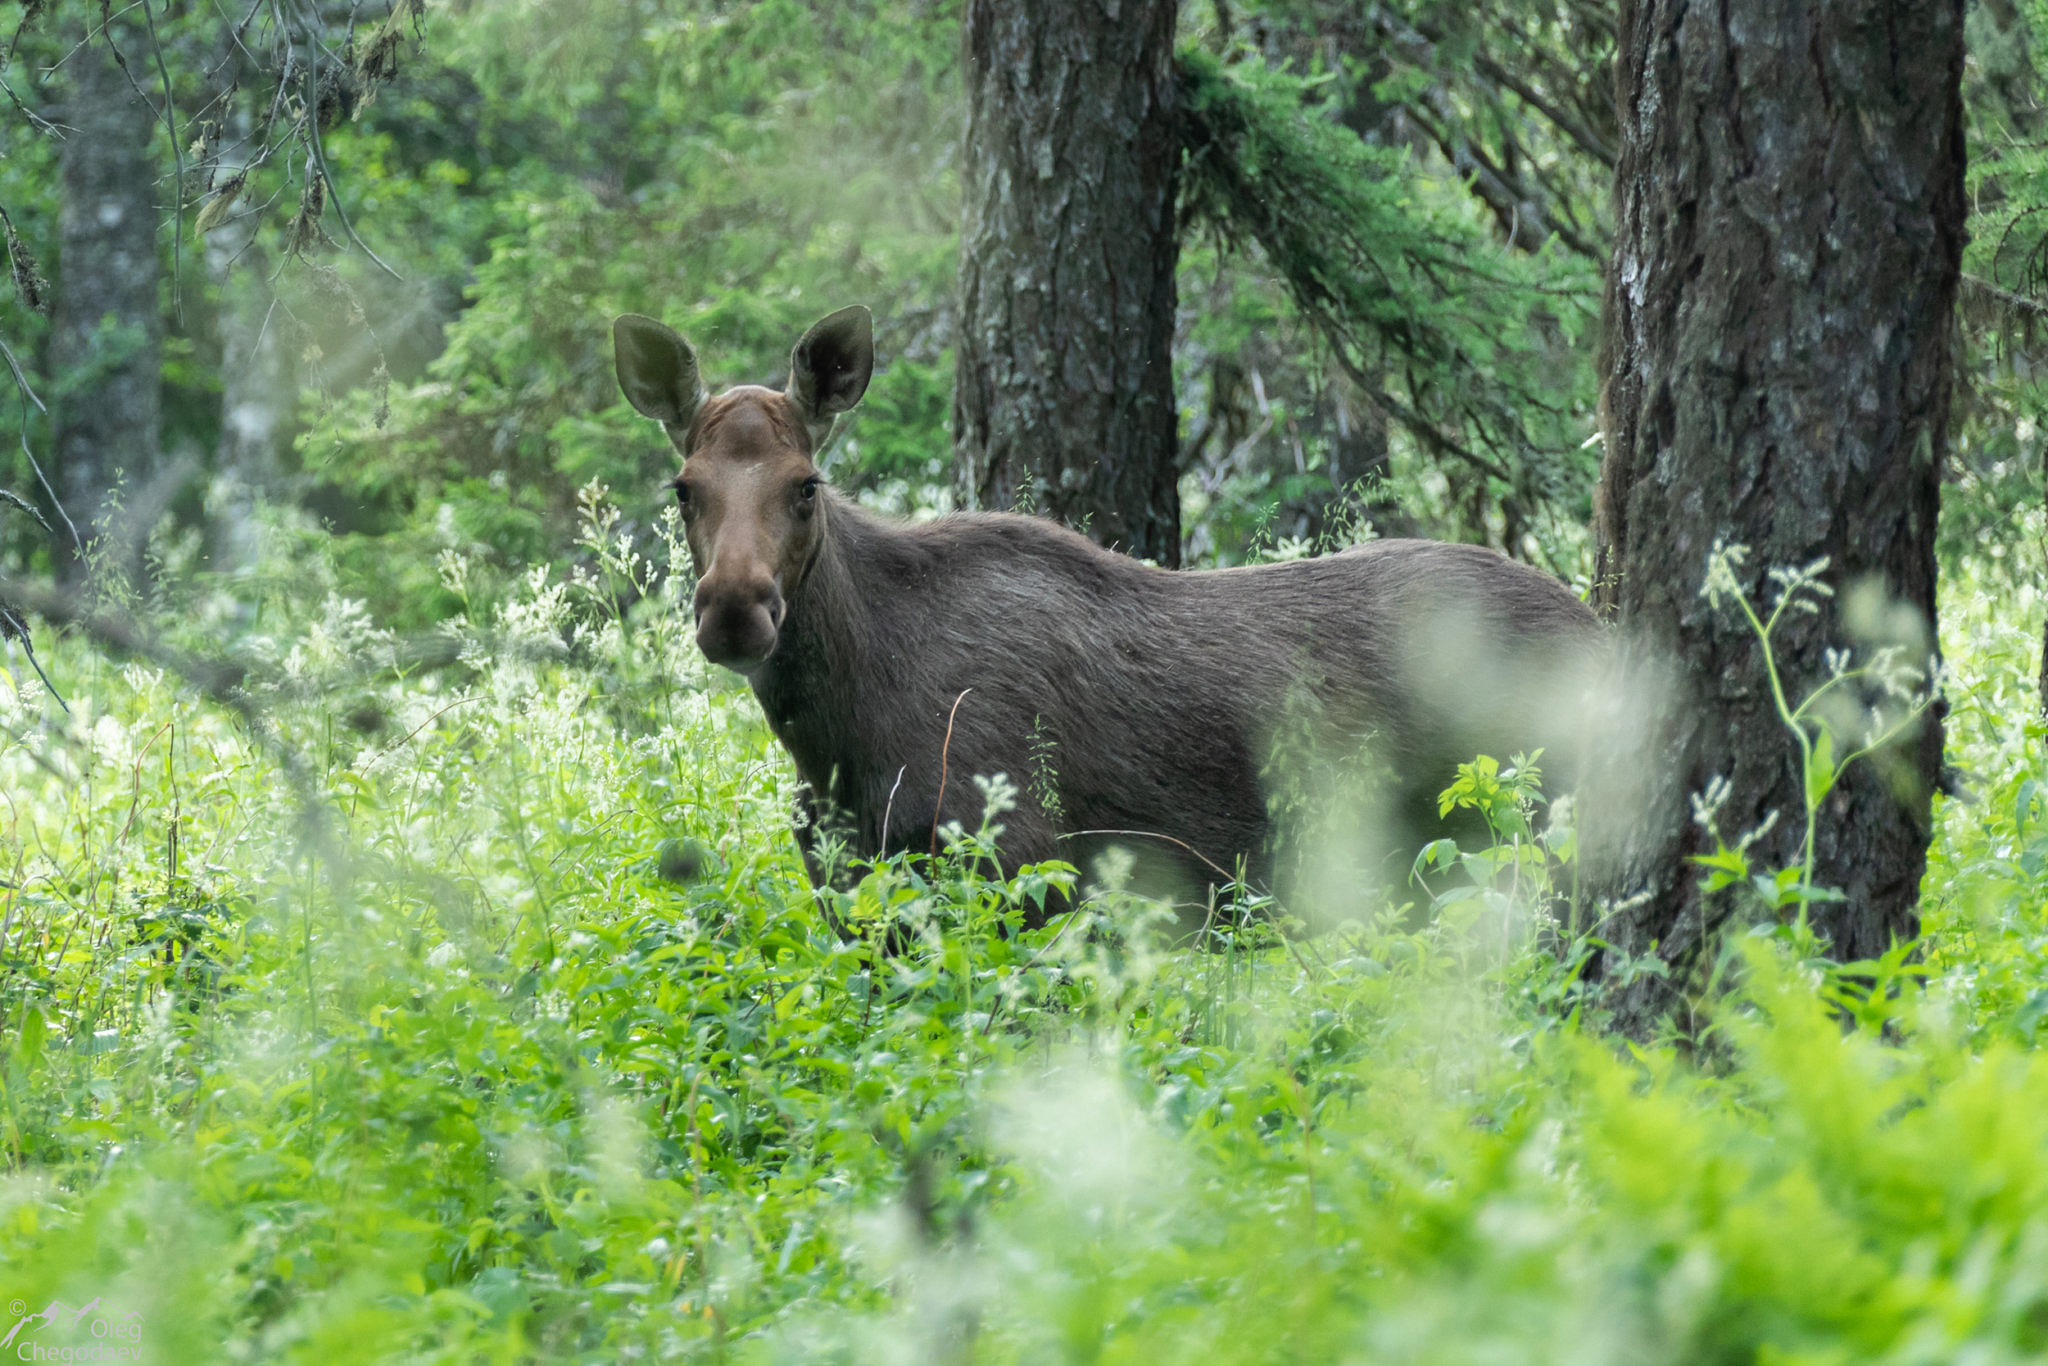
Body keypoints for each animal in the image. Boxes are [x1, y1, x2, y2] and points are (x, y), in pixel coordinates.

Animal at [606, 307, 1597, 929]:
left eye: (806, 485)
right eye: (682, 488)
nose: (736, 611)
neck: (834, 736)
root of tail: (1603, 632)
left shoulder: (1022, 868)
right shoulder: (849, 892)